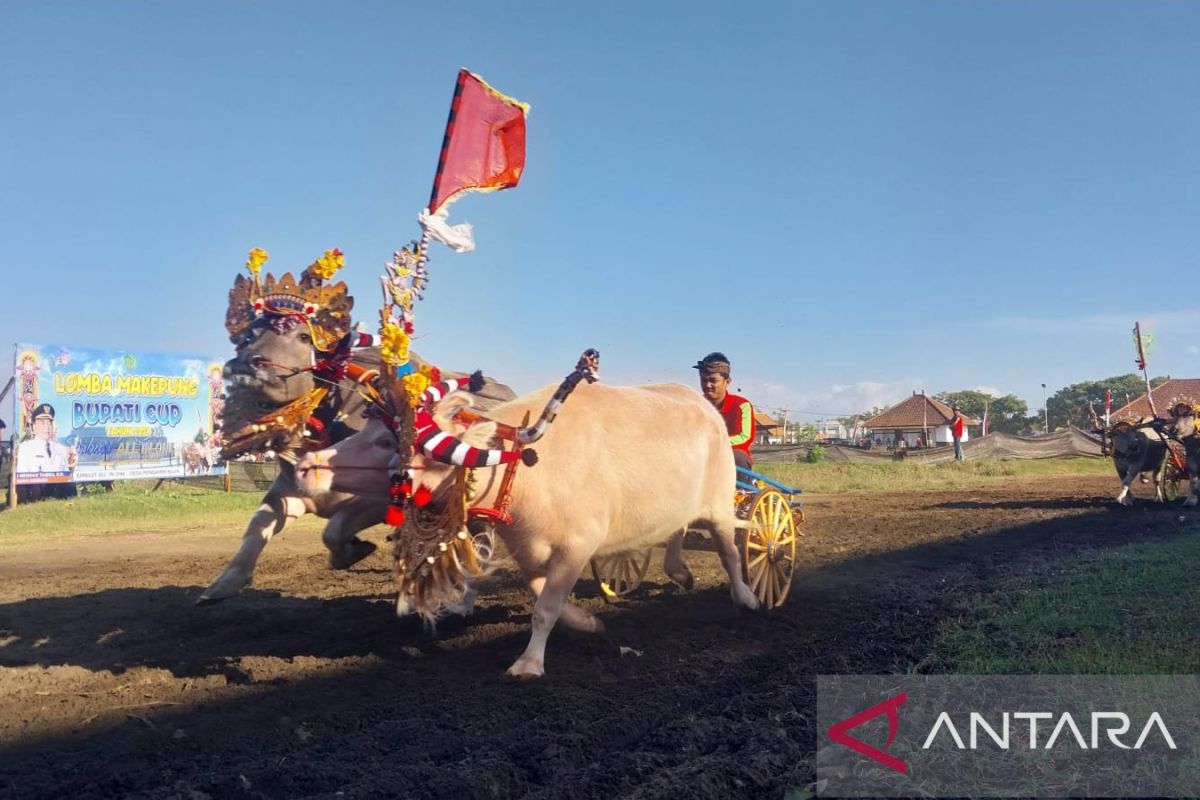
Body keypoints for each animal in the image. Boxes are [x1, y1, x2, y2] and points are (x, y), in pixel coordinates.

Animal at [198, 316, 516, 604]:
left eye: (303, 336)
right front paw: (223, 584)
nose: (243, 365)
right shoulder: (291, 491)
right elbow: (256, 528)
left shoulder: (383, 499)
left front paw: (352, 552)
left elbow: (334, 530)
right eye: (249, 335)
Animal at [294, 381, 753, 676]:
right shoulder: (527, 549)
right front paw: (588, 622)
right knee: (676, 529)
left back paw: (746, 597)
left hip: (720, 503)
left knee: (729, 550)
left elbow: (545, 608)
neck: (522, 468)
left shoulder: (578, 544)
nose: (303, 467)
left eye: (386, 443)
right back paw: (680, 571)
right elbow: (543, 597)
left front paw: (529, 663)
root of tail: (705, 407)